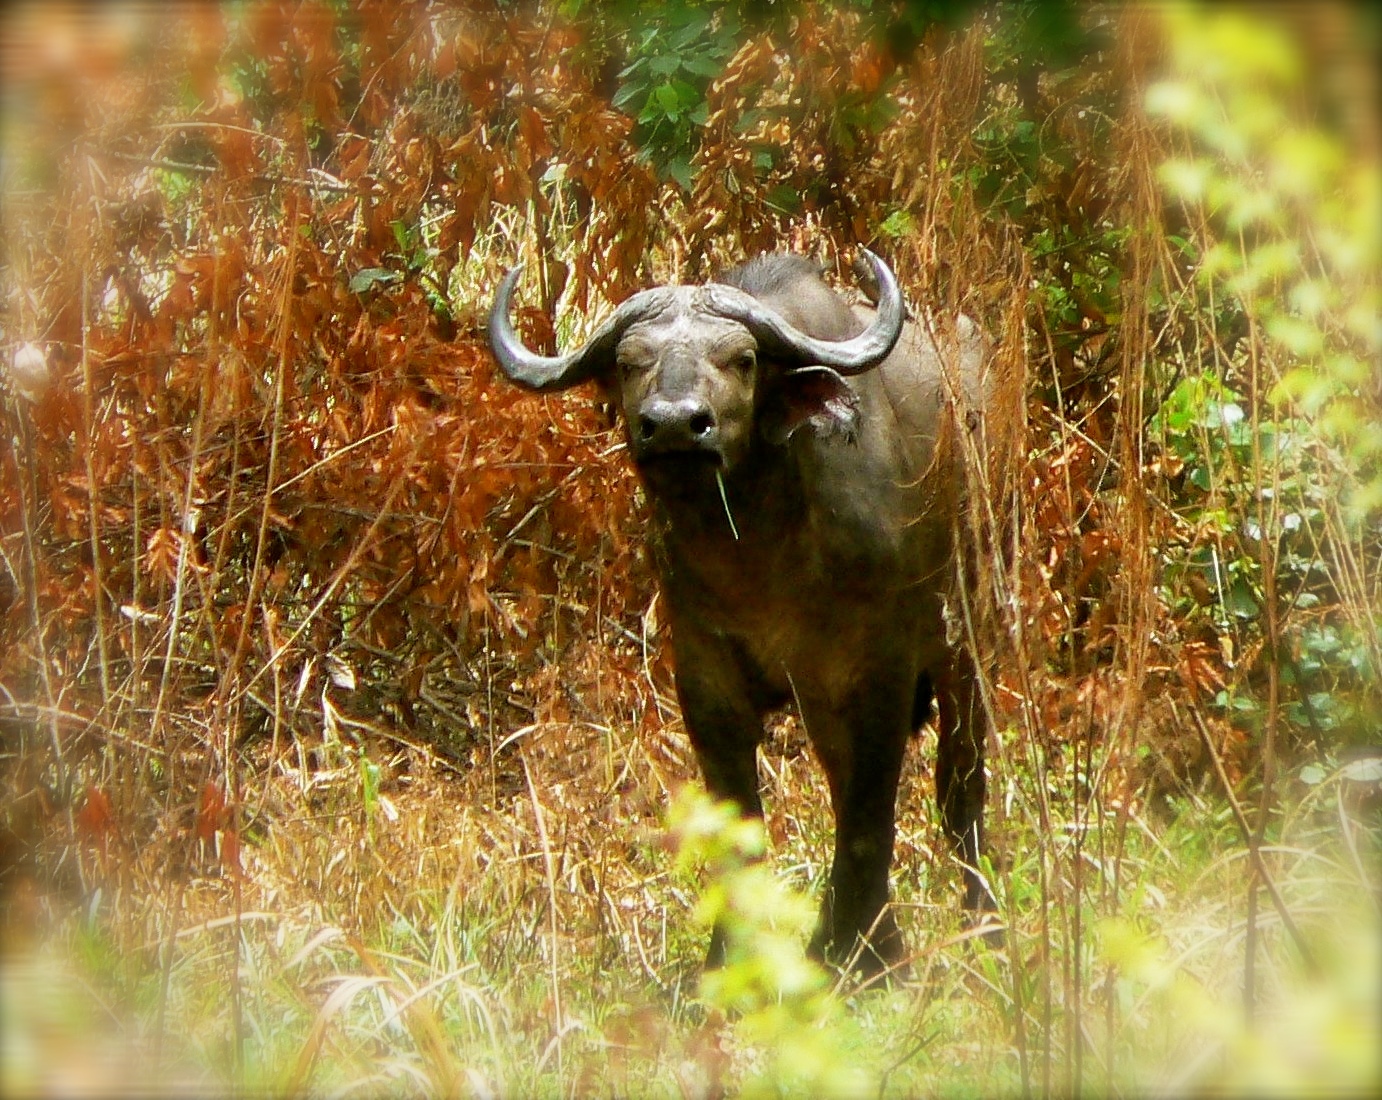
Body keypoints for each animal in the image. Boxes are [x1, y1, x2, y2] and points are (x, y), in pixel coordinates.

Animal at [486, 248, 995, 972]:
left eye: (743, 359)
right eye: (631, 360)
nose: (675, 423)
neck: (759, 555)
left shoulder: (881, 672)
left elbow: (870, 817)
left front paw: (855, 955)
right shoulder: (707, 677)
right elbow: (742, 827)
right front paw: (738, 958)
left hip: (968, 641)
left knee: (960, 785)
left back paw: (986, 926)